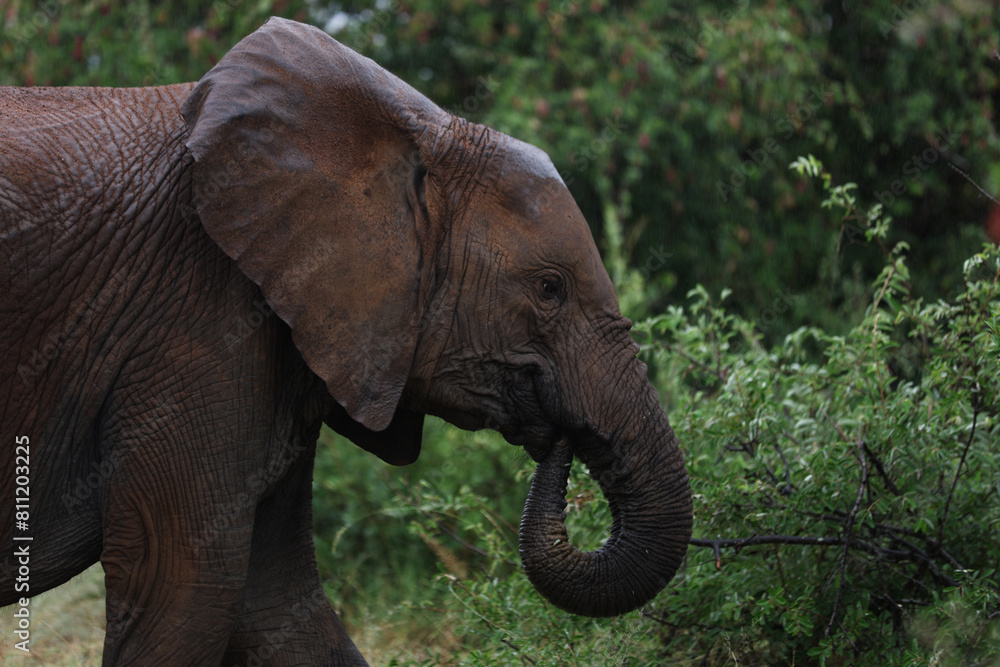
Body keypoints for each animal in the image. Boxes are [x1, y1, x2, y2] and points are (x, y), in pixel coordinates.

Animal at [0, 17, 692, 666]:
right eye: (550, 289)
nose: (562, 437)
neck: (416, 134)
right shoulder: (196, 313)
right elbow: (188, 592)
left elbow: (279, 605)